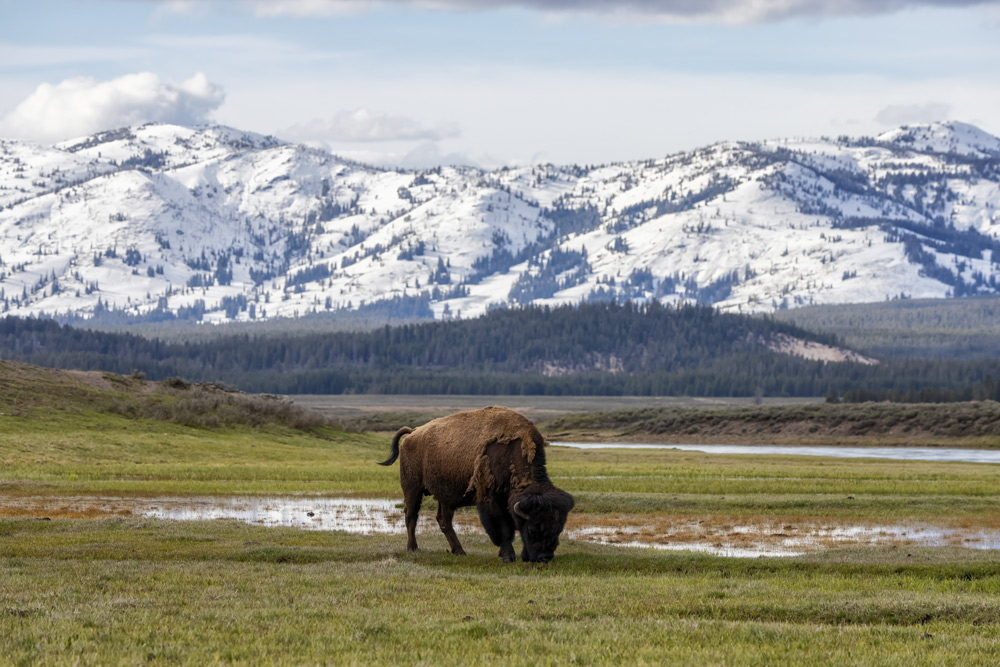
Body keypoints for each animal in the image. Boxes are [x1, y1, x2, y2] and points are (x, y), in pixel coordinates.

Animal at [378, 408, 576, 564]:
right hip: (413, 489)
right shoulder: (491, 500)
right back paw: (413, 548)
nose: (545, 558)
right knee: (411, 516)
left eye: (558, 528)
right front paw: (508, 556)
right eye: (533, 529)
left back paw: (459, 551)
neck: (510, 453)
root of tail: (413, 432)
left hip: (444, 496)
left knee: (443, 520)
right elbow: (503, 528)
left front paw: (504, 553)